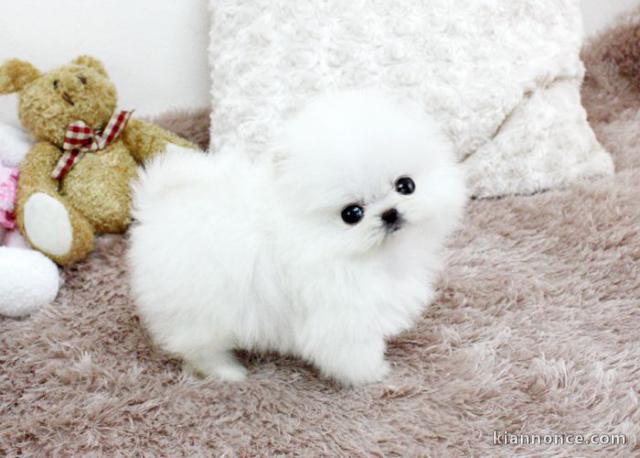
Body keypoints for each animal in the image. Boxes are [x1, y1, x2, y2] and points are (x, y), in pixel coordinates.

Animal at [130, 91, 468, 384]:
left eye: (406, 185)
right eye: (351, 214)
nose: (390, 213)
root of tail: (157, 207)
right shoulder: (341, 313)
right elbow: (353, 352)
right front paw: (373, 374)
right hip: (203, 309)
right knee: (199, 348)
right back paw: (229, 372)